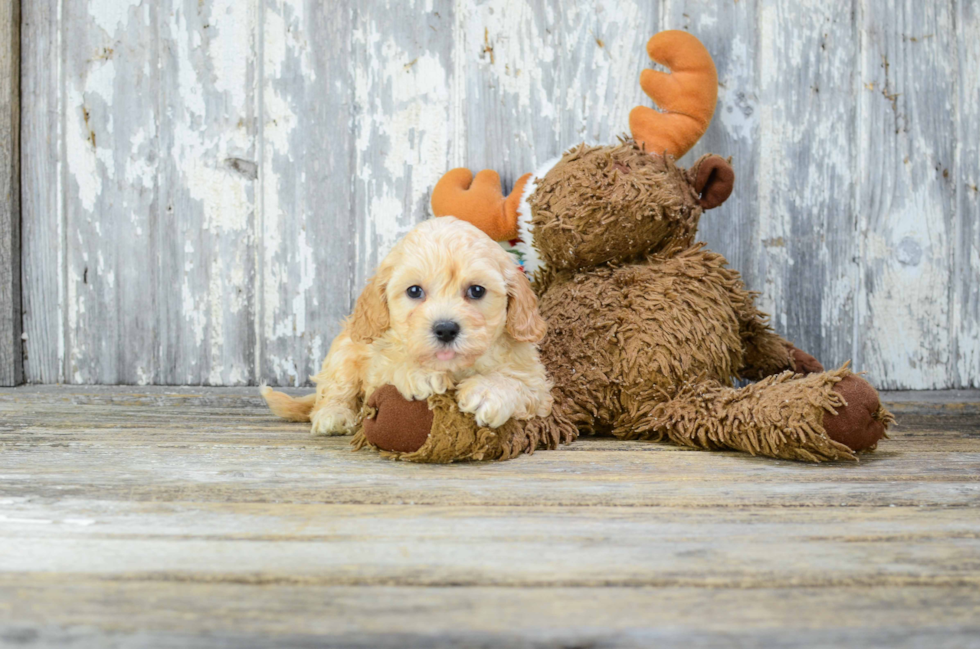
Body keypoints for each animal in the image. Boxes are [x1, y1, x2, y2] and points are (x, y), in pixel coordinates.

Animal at [260, 218, 552, 436]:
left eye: (477, 290)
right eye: (414, 291)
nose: (446, 329)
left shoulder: (538, 387)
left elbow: (516, 383)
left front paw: (487, 390)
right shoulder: (375, 365)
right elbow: (392, 364)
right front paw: (421, 372)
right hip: (344, 350)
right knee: (334, 389)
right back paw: (334, 415)